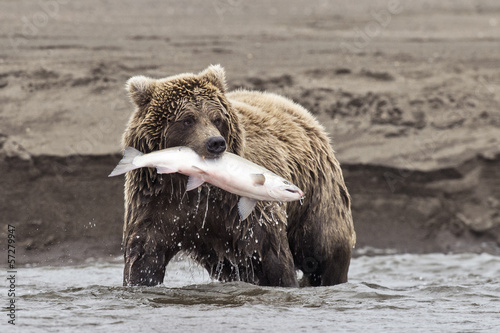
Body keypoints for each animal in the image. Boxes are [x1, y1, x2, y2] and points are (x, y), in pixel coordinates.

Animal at [120, 64, 356, 286]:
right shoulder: (157, 201)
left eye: (216, 118)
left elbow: (270, 255)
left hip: (317, 195)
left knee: (324, 249)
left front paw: (285, 282)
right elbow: (145, 253)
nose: (215, 142)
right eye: (187, 120)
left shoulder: (242, 211)